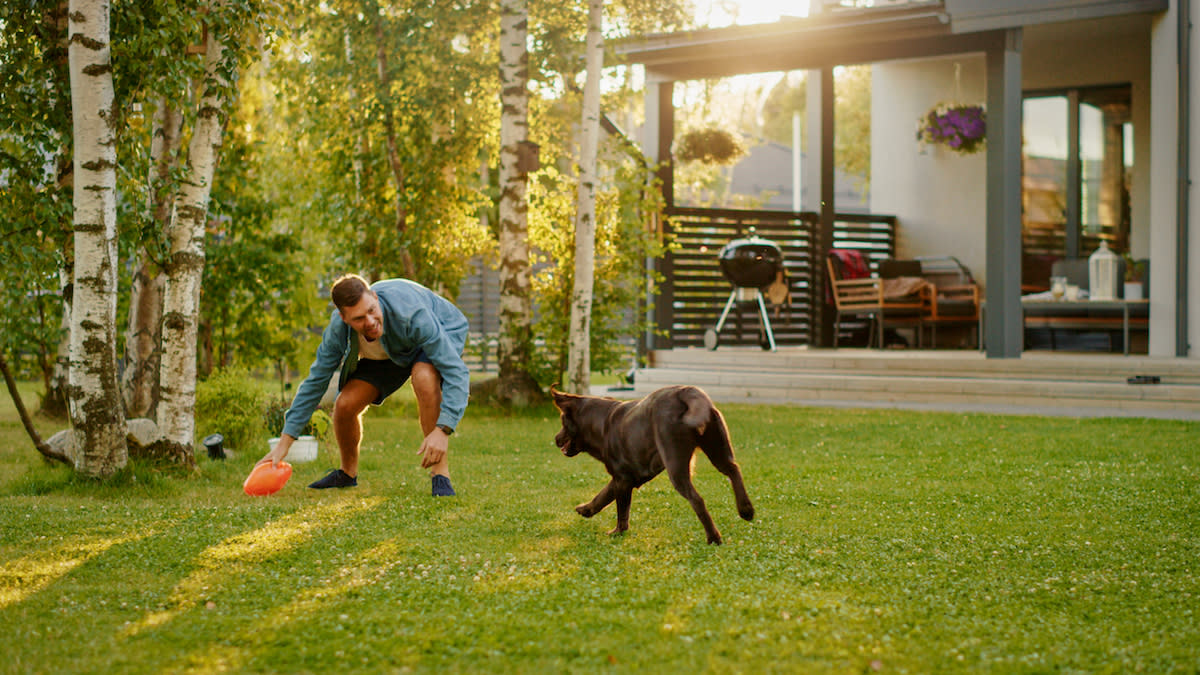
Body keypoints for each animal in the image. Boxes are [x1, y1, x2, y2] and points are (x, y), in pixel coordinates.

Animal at [549, 384, 753, 540]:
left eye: (562, 420)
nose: (556, 439)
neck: (601, 423)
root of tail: (687, 392)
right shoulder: (623, 478)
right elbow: (603, 495)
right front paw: (586, 509)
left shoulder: (622, 479)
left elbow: (621, 509)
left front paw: (617, 532)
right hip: (717, 448)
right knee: (734, 470)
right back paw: (746, 510)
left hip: (676, 465)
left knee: (697, 499)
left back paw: (713, 537)